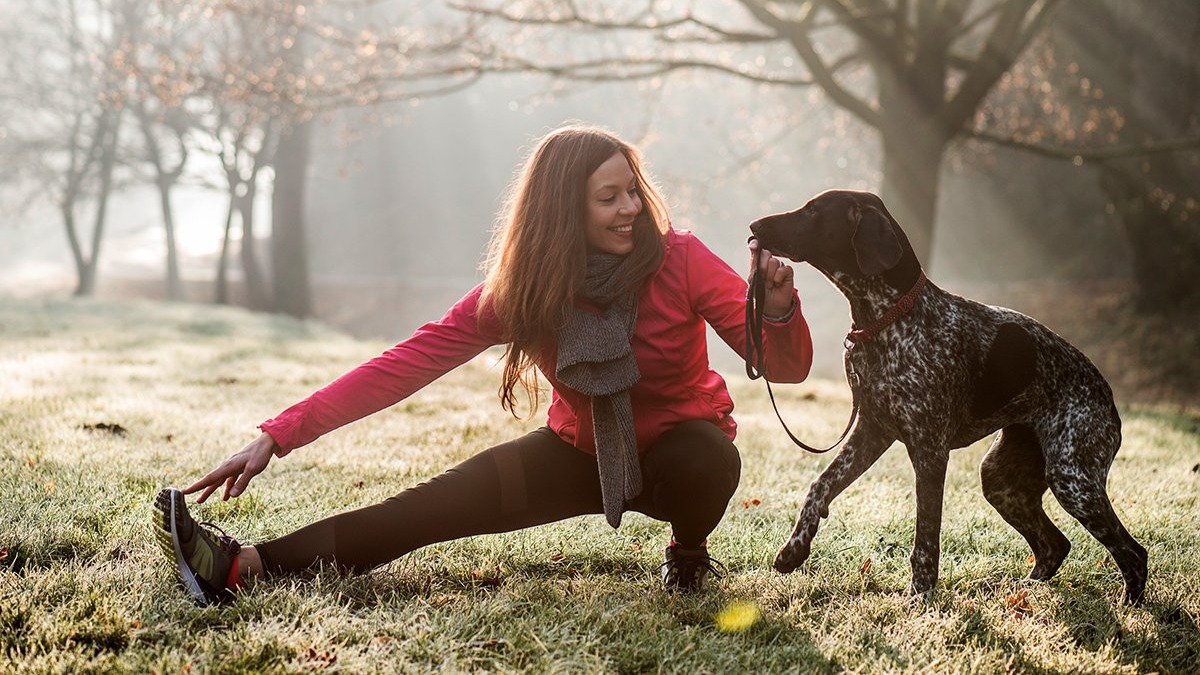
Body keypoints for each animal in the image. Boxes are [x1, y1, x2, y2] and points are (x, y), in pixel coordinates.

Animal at [744, 187, 1147, 605]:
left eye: (813, 211)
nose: (754, 225)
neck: (886, 320)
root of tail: (1109, 399)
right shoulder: (872, 432)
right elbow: (819, 486)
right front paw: (794, 549)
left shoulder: (929, 451)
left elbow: (925, 537)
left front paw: (921, 595)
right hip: (1002, 480)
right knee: (1056, 545)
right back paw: (1024, 592)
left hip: (1073, 479)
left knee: (1133, 552)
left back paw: (1129, 607)